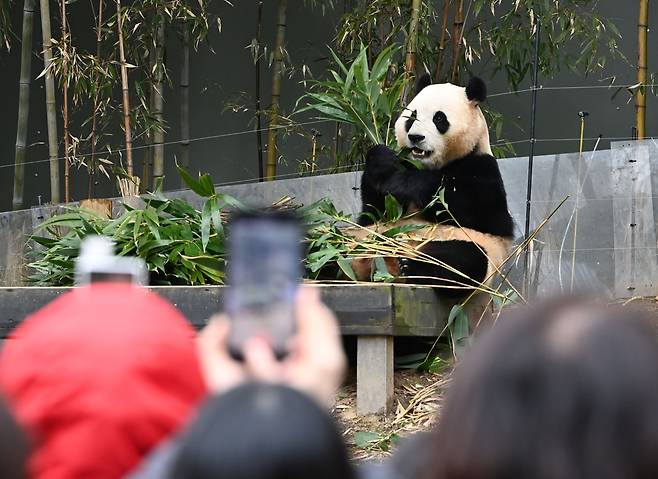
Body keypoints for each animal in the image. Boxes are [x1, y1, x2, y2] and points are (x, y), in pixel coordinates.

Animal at [348, 73, 512, 298]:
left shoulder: (483, 168)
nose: (416, 137)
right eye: (412, 117)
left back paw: (411, 267)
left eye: (439, 119)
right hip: (358, 240)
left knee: (461, 260)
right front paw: (382, 160)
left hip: (470, 248)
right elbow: (373, 211)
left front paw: (405, 183)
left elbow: (480, 210)